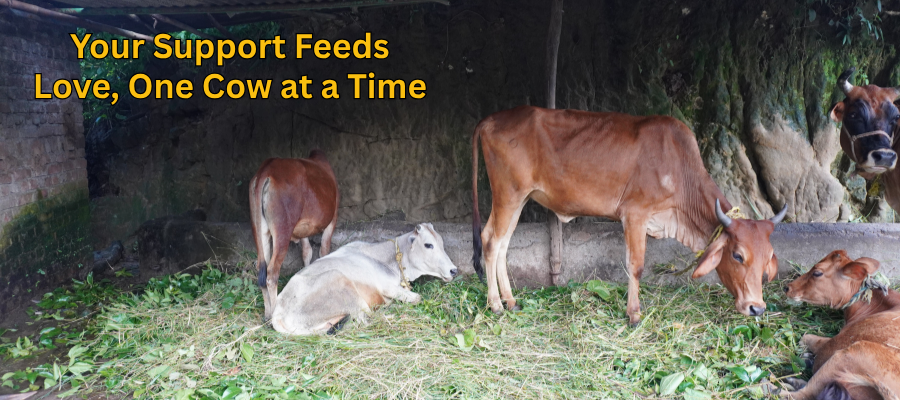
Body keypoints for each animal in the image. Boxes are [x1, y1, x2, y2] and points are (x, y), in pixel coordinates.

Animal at [250, 150, 339, 320]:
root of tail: (267, 169)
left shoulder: (303, 230)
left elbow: (307, 252)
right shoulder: (332, 220)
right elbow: (323, 250)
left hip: (260, 230)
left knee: (261, 270)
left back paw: (267, 314)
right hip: (283, 230)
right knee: (272, 272)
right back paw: (274, 315)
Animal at [271, 223, 459, 335]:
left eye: (442, 243)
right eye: (428, 245)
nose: (454, 270)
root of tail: (278, 312)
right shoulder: (388, 287)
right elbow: (417, 298)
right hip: (343, 285)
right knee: (366, 319)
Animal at [471, 106, 787, 326]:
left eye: (767, 257)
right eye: (737, 255)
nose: (757, 307)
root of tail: (489, 120)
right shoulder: (635, 213)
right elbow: (636, 265)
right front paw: (634, 314)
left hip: (520, 198)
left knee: (502, 243)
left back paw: (511, 301)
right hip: (508, 194)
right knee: (491, 241)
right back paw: (495, 305)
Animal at [778, 250, 900, 400]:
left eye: (817, 273)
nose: (787, 287)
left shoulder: (836, 343)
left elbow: (808, 338)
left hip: (855, 352)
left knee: (801, 394)